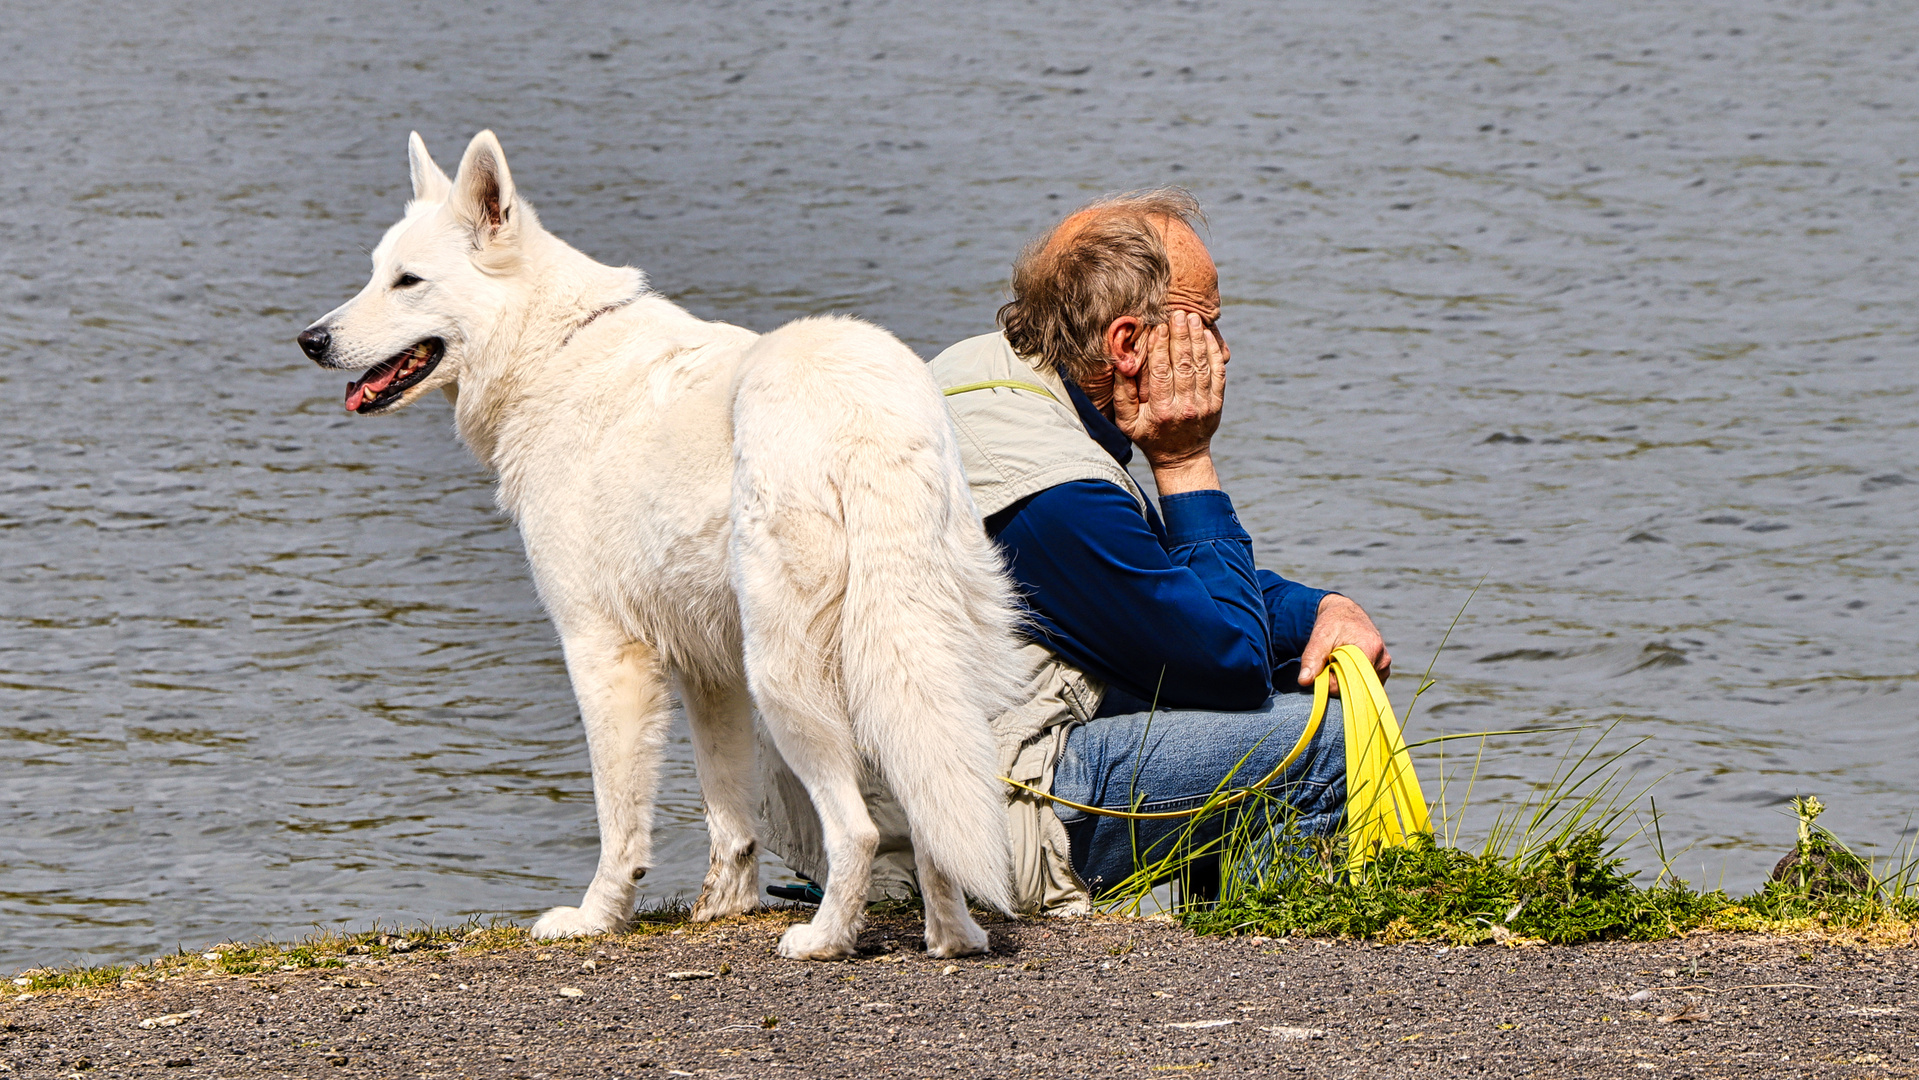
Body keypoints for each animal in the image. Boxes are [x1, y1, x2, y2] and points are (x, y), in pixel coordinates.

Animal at [295, 128, 1020, 962]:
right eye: (374, 273)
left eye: (407, 281)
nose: (310, 340)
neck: (551, 349)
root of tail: (865, 414)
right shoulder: (709, 670)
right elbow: (728, 813)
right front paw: (723, 908)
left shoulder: (603, 652)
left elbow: (619, 820)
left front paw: (596, 917)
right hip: (911, 662)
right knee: (935, 808)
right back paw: (952, 937)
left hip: (789, 680)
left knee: (859, 831)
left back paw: (823, 939)